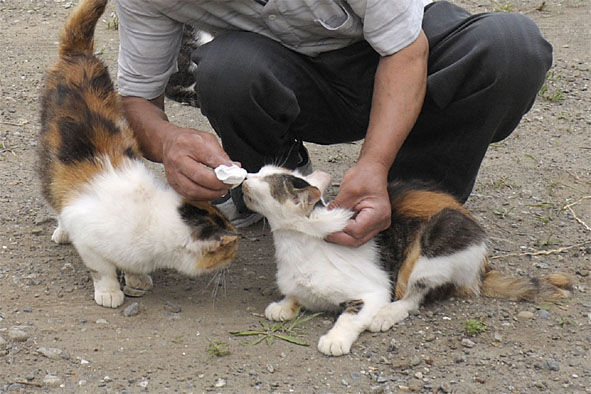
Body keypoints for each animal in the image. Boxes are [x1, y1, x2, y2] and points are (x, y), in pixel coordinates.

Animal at [37, 0, 238, 308]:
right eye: (230, 248)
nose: (237, 250)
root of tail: (79, 55)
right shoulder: (88, 237)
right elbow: (102, 269)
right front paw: (109, 292)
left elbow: (130, 265)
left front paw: (137, 279)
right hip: (49, 156)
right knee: (53, 190)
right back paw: (61, 230)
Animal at [240, 165, 572, 356]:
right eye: (260, 170)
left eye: (267, 180)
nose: (244, 175)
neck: (296, 245)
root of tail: (483, 263)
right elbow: (295, 294)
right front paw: (284, 305)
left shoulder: (372, 290)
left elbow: (351, 315)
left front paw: (336, 339)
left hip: (433, 246)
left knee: (414, 297)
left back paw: (386, 315)